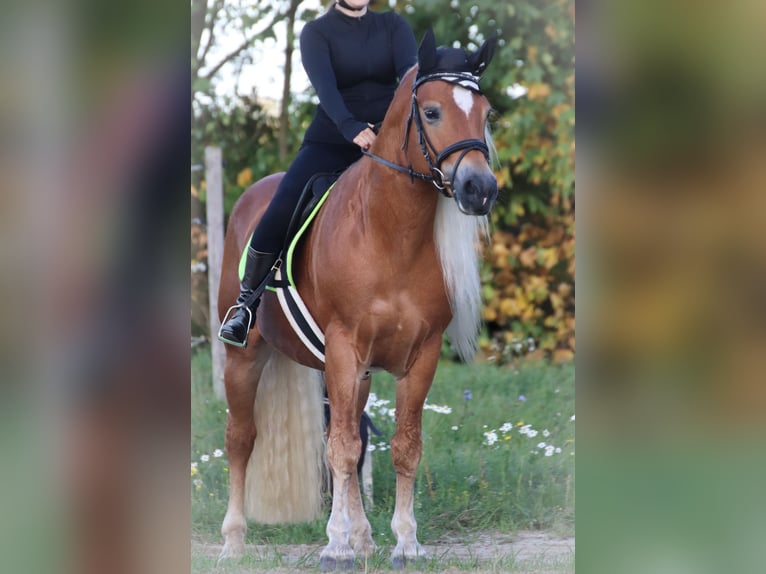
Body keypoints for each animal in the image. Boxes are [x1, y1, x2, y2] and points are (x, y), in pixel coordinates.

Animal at [216, 29, 498, 570]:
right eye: (432, 111)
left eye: (486, 112)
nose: (480, 189)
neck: (391, 233)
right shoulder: (344, 349)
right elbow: (341, 449)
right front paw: (336, 546)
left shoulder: (420, 356)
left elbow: (401, 446)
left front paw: (404, 542)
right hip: (244, 356)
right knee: (242, 439)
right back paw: (234, 541)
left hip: (359, 374)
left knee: (356, 434)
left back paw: (363, 536)